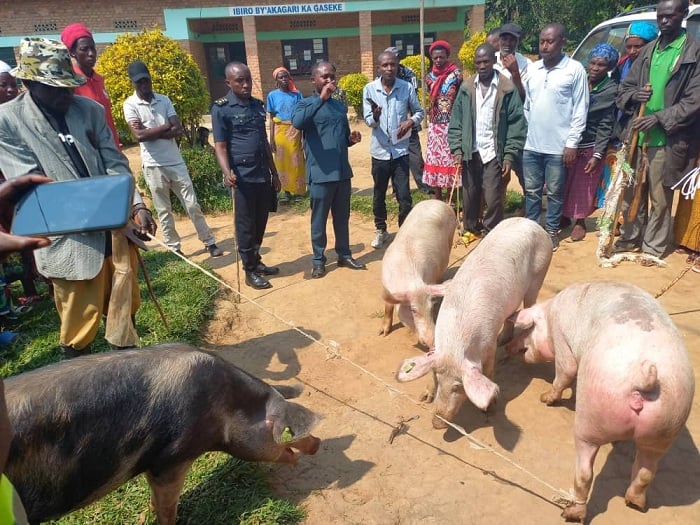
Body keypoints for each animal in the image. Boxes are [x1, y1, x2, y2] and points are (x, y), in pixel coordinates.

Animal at [380, 200, 456, 348]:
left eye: (431, 308)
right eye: (413, 310)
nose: (433, 342)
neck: (413, 282)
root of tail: (439, 201)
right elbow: (388, 306)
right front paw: (383, 333)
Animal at [396, 217, 548, 426]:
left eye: (458, 387)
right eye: (438, 378)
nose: (437, 423)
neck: (455, 344)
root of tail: (530, 222)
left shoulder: (489, 341)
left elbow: (489, 371)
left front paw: (490, 411)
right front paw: (424, 397)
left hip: (540, 272)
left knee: (530, 304)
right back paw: (504, 339)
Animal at [504, 280, 696, 520]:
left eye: (528, 329)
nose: (507, 347)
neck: (549, 314)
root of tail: (644, 377)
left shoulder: (561, 337)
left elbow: (566, 370)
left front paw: (545, 398)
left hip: (591, 420)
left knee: (585, 471)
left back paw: (571, 514)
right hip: (667, 425)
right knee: (647, 470)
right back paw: (635, 503)